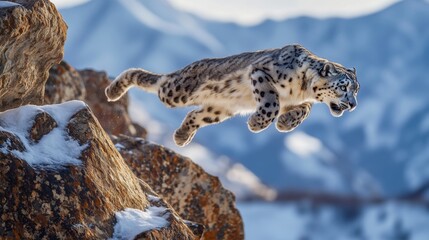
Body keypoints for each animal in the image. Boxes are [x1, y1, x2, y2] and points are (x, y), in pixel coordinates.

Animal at [106, 44, 358, 146]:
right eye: (344, 87)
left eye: (357, 90)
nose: (353, 105)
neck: (301, 91)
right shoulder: (261, 72)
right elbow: (271, 103)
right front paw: (257, 123)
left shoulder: (299, 101)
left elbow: (304, 111)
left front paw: (285, 123)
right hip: (177, 92)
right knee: (155, 80)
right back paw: (112, 90)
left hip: (219, 109)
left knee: (194, 115)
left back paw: (181, 136)